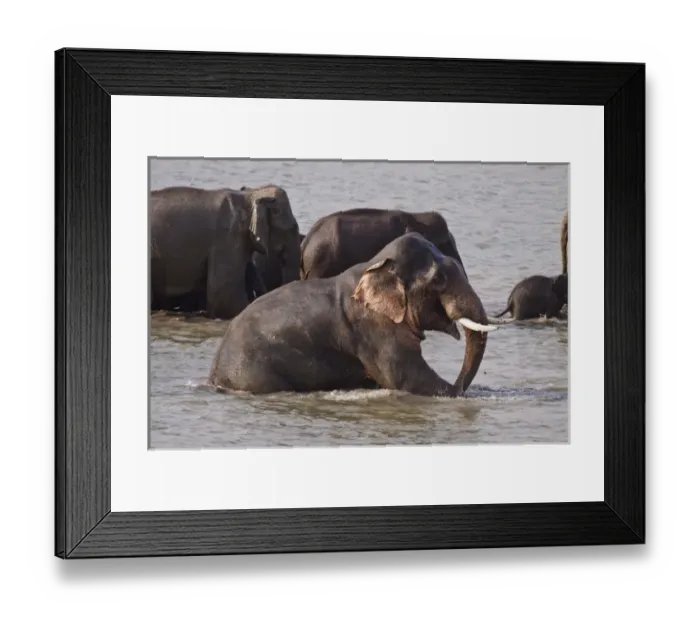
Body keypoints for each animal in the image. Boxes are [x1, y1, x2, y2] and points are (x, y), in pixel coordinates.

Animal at [208, 232, 498, 397]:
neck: (377, 264)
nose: (461, 386)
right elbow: (406, 377)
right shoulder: (373, 327)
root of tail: (214, 376)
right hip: (254, 373)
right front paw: (455, 394)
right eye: (438, 280)